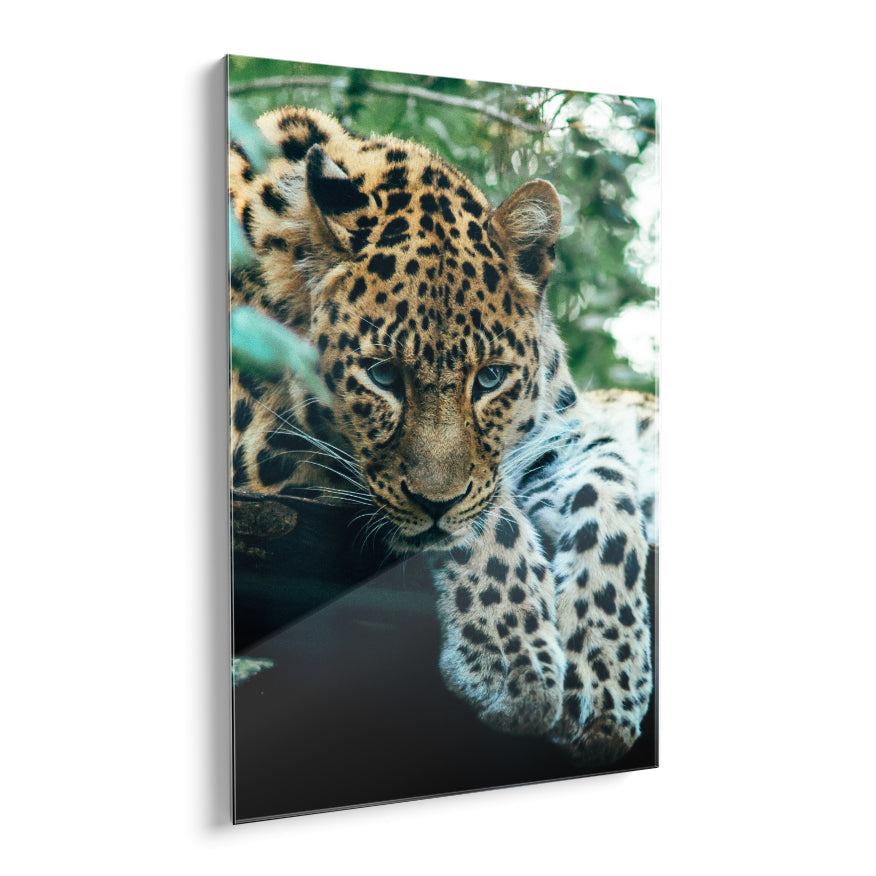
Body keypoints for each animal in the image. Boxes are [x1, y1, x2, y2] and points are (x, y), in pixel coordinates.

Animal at [228, 106, 657, 767]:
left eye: (490, 378)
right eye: (382, 375)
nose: (436, 502)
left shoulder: (560, 434)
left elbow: (609, 493)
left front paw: (607, 672)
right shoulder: (258, 445)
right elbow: (490, 516)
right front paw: (515, 660)